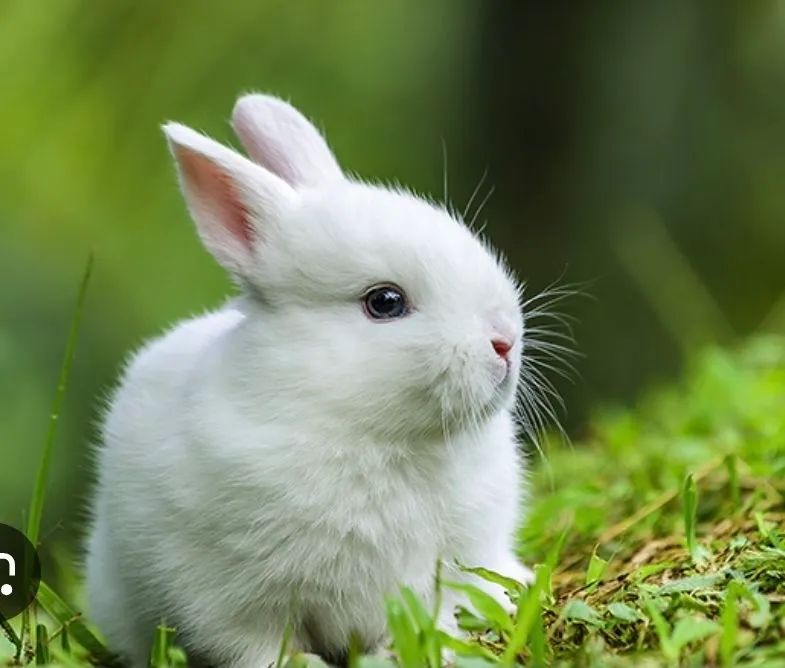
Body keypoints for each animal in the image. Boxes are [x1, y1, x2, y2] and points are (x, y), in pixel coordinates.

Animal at [85, 93, 534, 668]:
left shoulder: (461, 556)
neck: (370, 433)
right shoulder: (229, 600)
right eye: (385, 302)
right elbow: (259, 647)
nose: (505, 341)